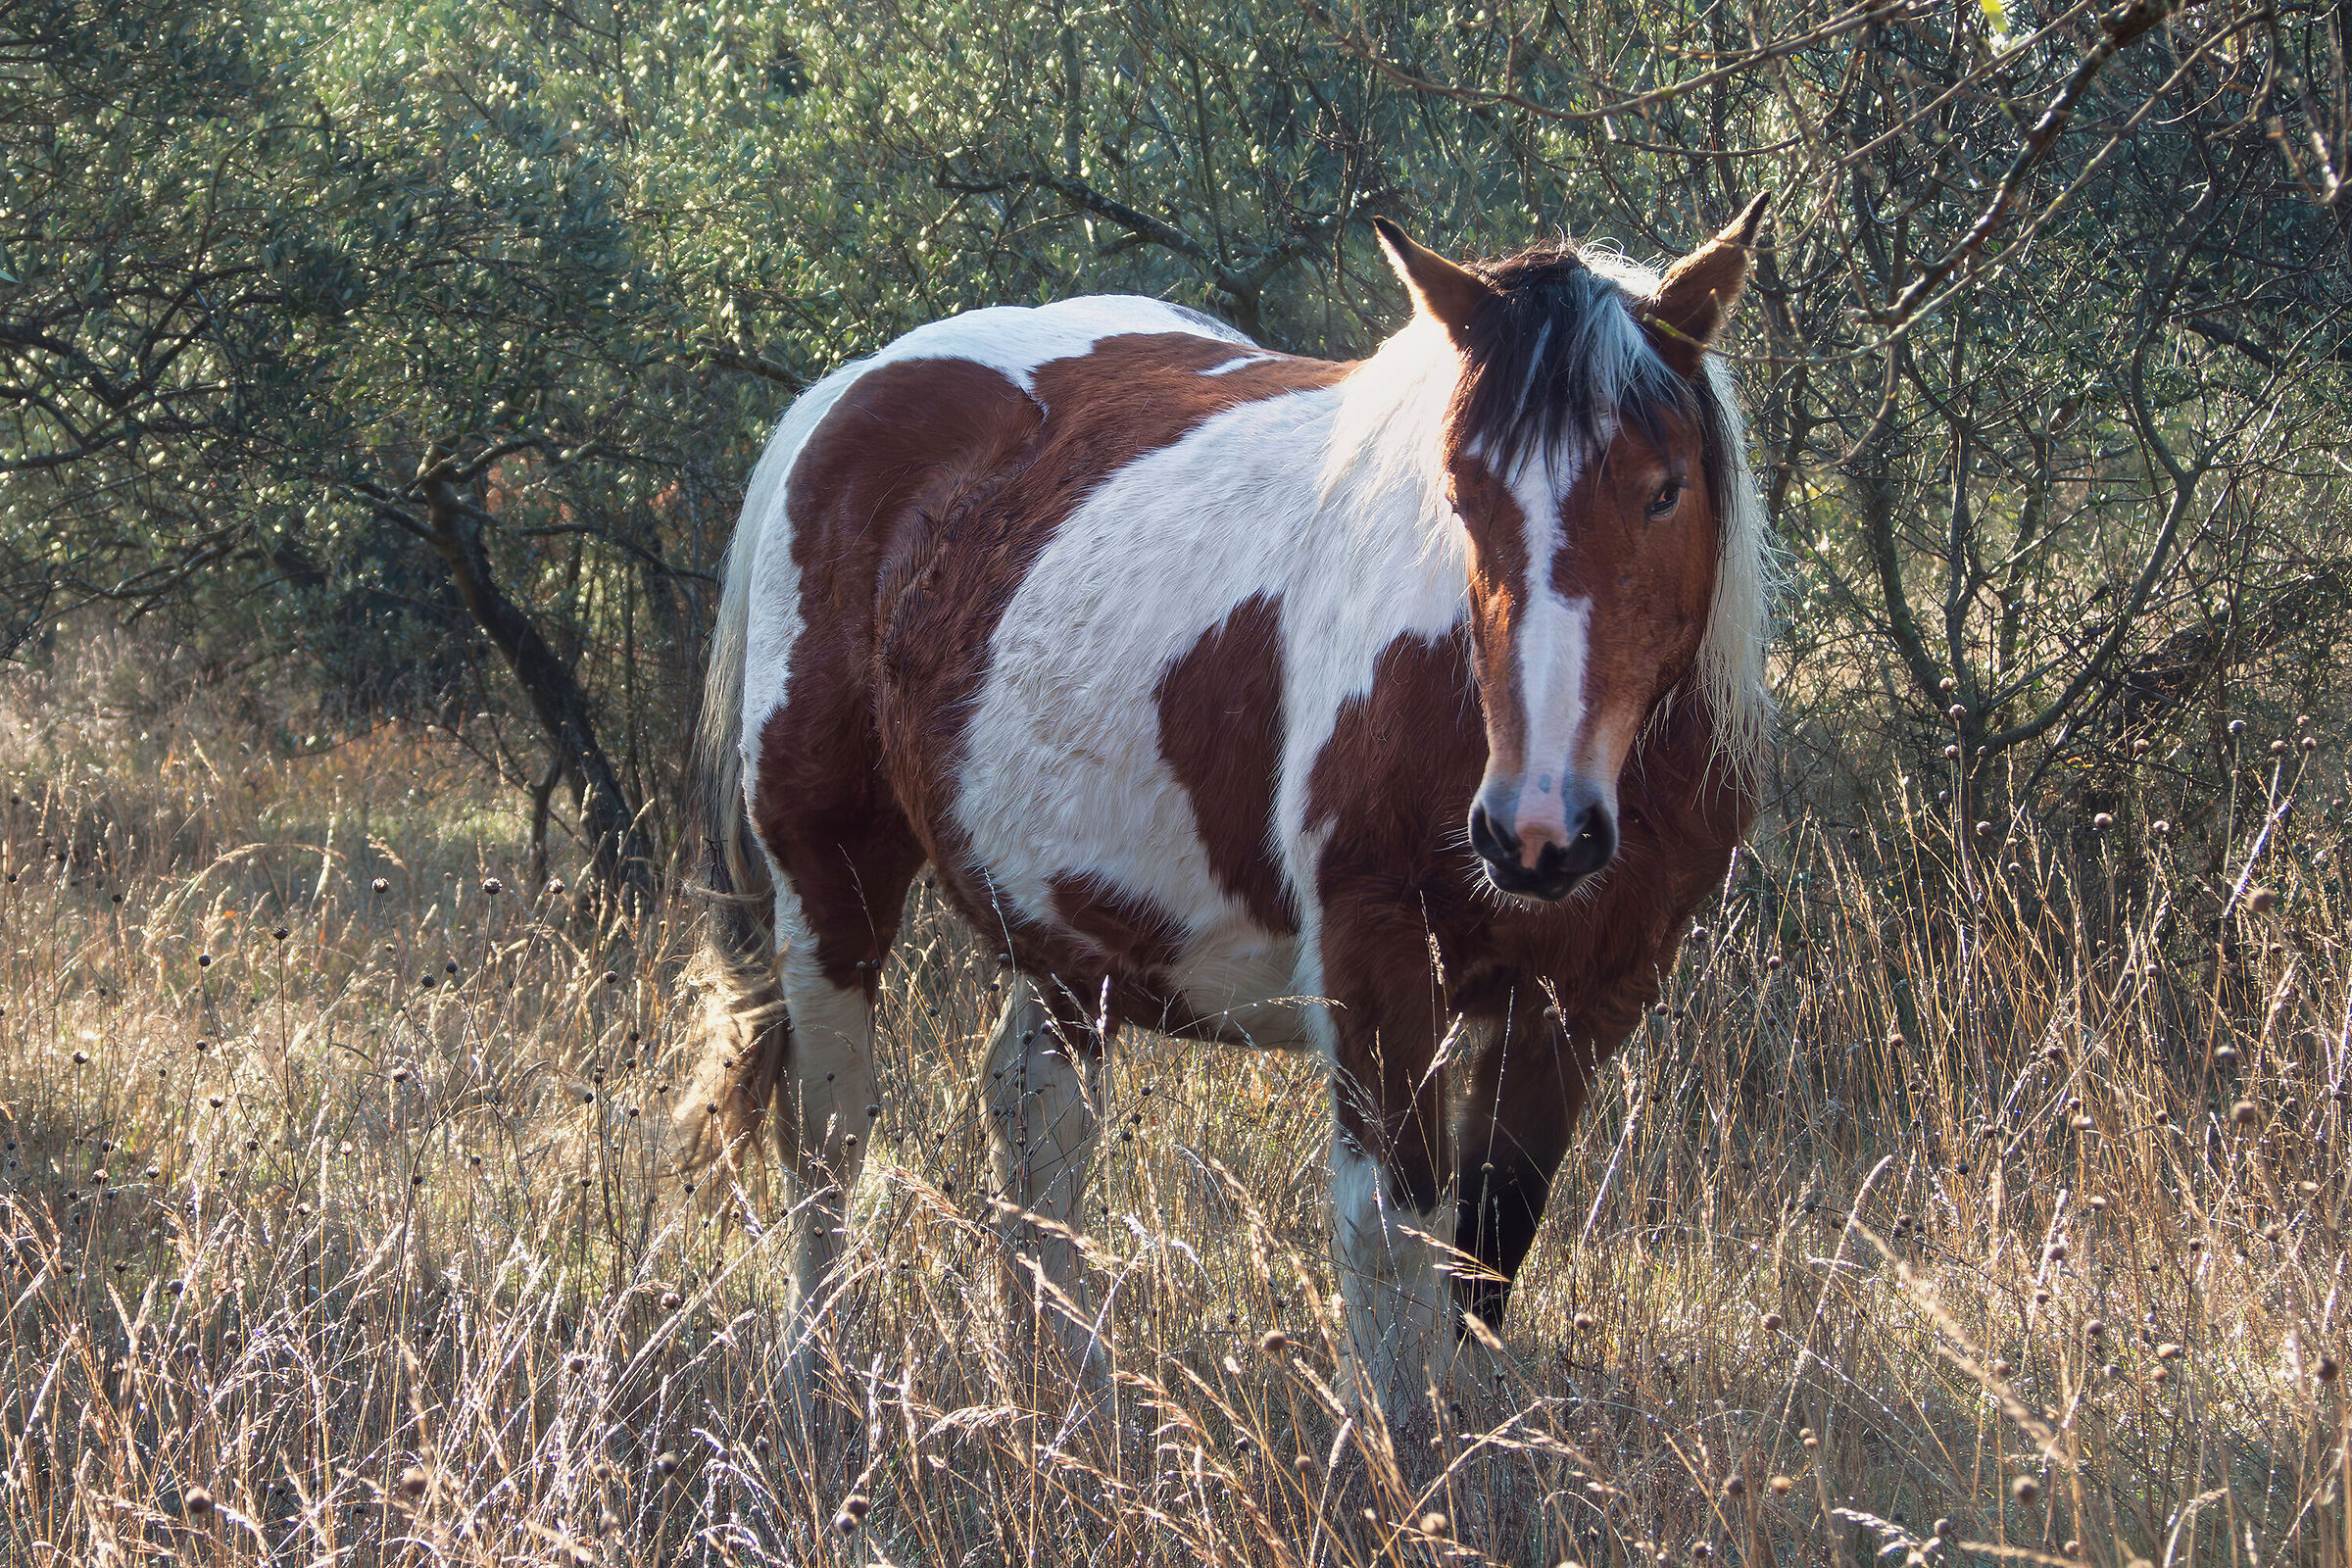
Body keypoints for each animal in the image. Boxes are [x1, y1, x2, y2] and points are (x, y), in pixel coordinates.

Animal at [682, 197, 1773, 1420]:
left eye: (1664, 487)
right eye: (1459, 493)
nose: (1535, 832)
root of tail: (849, 389)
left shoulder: (1583, 998)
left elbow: (1488, 1250)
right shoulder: (1375, 964)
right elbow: (1387, 1236)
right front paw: (1392, 1455)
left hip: (1066, 923)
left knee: (1035, 1118)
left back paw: (1073, 1399)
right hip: (829, 870)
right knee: (828, 1132)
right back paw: (812, 1393)